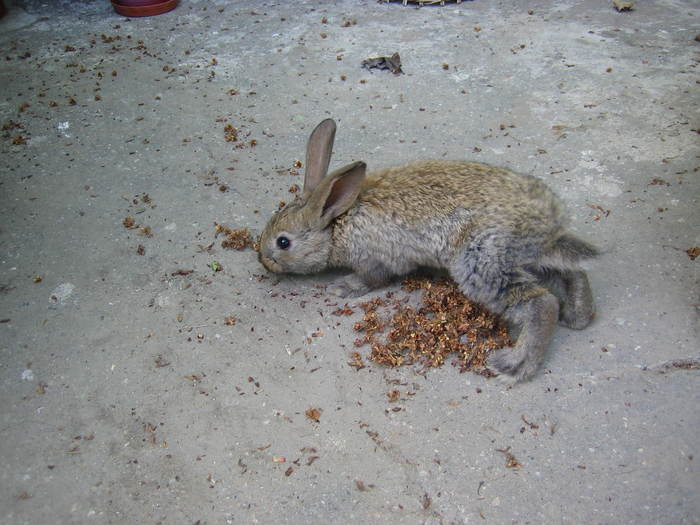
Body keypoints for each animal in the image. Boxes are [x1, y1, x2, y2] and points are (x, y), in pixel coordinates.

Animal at [258, 117, 596, 380]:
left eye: (283, 242)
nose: (263, 260)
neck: (336, 223)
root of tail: (550, 221)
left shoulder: (374, 259)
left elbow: (372, 279)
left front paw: (343, 287)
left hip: (480, 261)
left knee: (541, 303)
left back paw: (514, 365)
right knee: (573, 273)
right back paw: (578, 316)